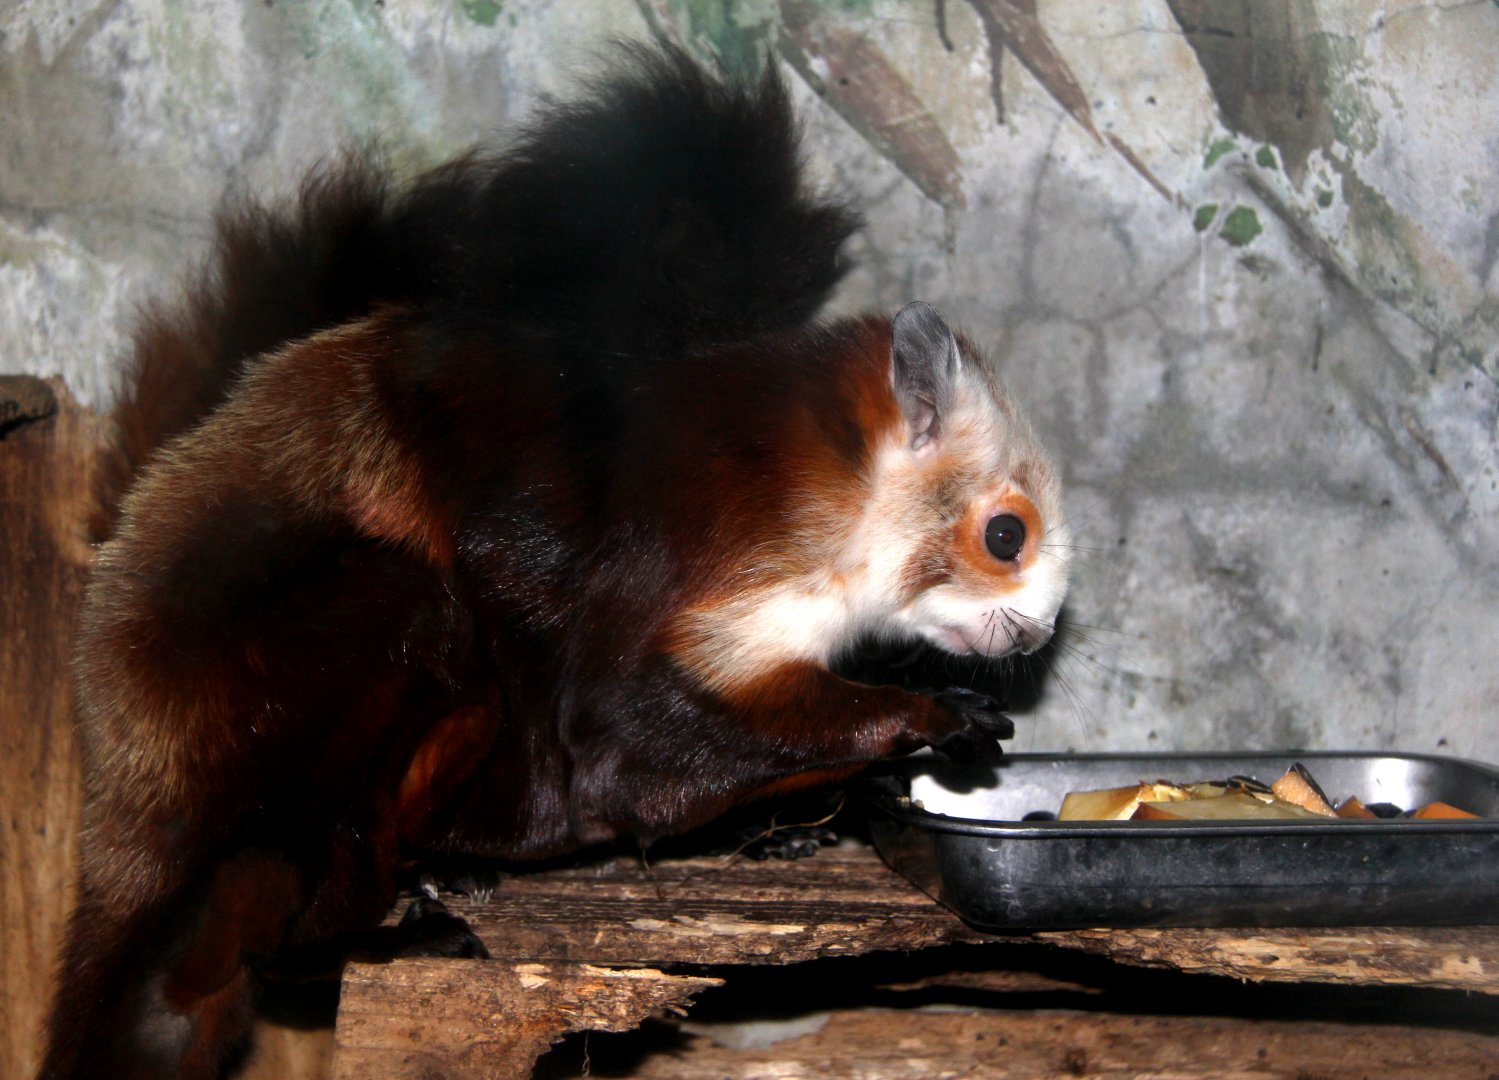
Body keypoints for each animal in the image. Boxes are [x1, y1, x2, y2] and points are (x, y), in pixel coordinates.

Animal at [41, 45, 1069, 1079]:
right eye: (1005, 536)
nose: (1036, 631)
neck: (837, 505)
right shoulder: (667, 576)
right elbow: (622, 745)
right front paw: (926, 718)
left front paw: (840, 797)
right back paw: (374, 922)